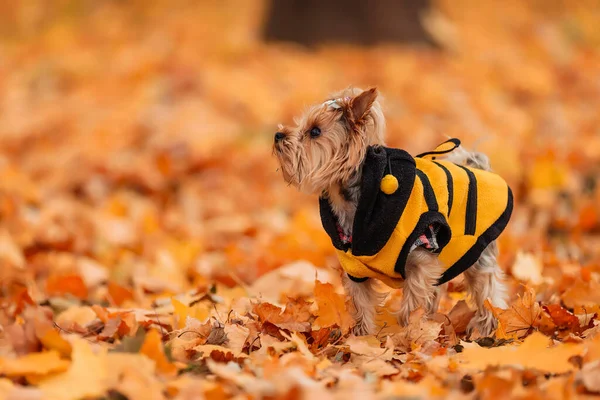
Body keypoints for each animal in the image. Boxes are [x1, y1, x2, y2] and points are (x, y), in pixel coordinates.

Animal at [272, 88, 510, 338]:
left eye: (315, 131)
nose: (278, 134)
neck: (356, 203)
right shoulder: (355, 270)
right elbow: (361, 303)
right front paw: (362, 337)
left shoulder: (422, 260)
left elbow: (413, 302)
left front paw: (410, 333)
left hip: (478, 254)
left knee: (487, 290)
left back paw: (487, 327)